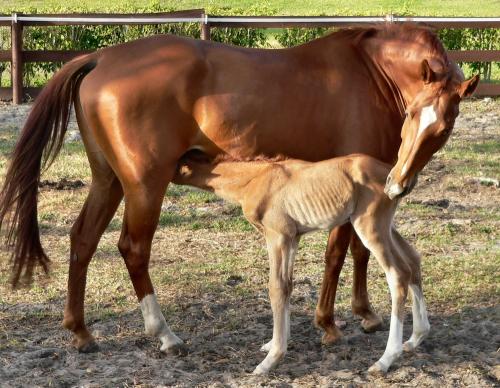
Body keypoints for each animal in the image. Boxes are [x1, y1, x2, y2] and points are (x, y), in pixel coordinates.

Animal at [173, 152, 430, 372]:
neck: (256, 179)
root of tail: (391, 175)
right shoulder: (292, 238)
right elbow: (287, 285)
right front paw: (275, 343)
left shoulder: (277, 236)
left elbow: (276, 287)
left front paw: (271, 360)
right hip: (386, 227)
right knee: (413, 260)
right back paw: (416, 337)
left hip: (370, 226)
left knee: (398, 274)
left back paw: (385, 360)